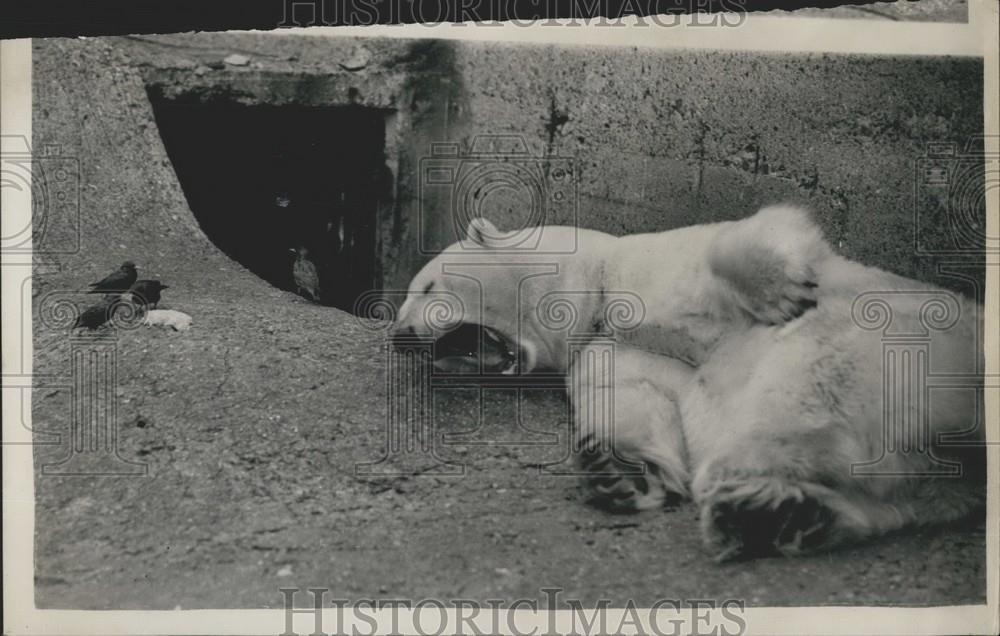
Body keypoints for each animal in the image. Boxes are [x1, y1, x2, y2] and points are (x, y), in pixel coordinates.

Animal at [390, 206, 984, 560]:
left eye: (427, 286)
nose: (400, 336)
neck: (597, 295)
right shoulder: (612, 351)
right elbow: (636, 400)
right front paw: (614, 471)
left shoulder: (650, 264)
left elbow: (755, 231)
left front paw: (782, 293)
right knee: (908, 494)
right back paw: (773, 515)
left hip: (899, 350)